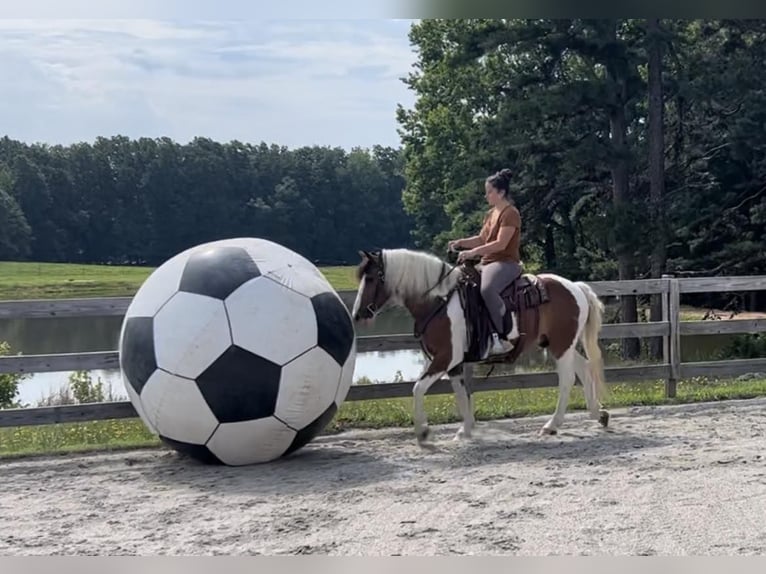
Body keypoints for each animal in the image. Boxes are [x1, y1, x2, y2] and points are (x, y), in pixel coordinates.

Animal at [354, 249, 612, 446]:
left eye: (371, 279)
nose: (358, 314)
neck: (439, 301)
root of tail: (575, 287)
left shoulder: (445, 358)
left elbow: (417, 388)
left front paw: (423, 433)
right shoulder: (454, 364)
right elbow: (460, 394)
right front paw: (465, 430)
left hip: (561, 346)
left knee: (567, 378)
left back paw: (552, 425)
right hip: (560, 344)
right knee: (584, 368)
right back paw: (597, 414)